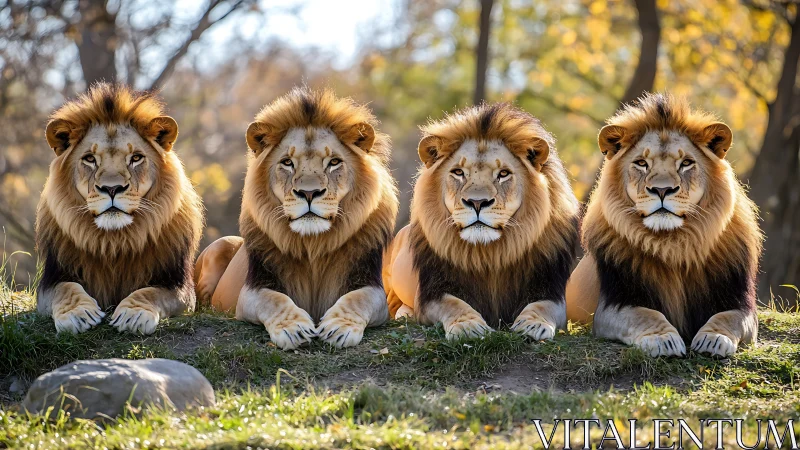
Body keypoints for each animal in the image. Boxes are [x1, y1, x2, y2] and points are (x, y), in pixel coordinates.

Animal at [36, 83, 204, 335]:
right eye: (89, 159)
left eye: (136, 158)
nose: (112, 188)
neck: (114, 240)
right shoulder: (50, 281)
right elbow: (66, 288)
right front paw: (78, 314)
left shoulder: (178, 285)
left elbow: (151, 292)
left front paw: (133, 314)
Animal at [194, 87, 398, 350]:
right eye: (287, 163)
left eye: (334, 162)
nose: (309, 193)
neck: (312, 244)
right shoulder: (253, 289)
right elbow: (273, 299)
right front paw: (293, 328)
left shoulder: (371, 284)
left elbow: (357, 298)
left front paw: (339, 327)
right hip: (221, 245)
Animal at [383, 103, 580, 340]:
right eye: (458, 172)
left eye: (503, 174)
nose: (477, 202)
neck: (489, 254)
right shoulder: (433, 292)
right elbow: (453, 304)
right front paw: (468, 326)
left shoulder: (550, 288)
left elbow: (543, 306)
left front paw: (534, 324)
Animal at [565, 93, 763, 357]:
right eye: (641, 163)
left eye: (686, 163)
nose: (662, 190)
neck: (673, 243)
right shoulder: (613, 306)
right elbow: (646, 315)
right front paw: (663, 339)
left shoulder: (740, 303)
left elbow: (726, 317)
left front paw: (714, 339)